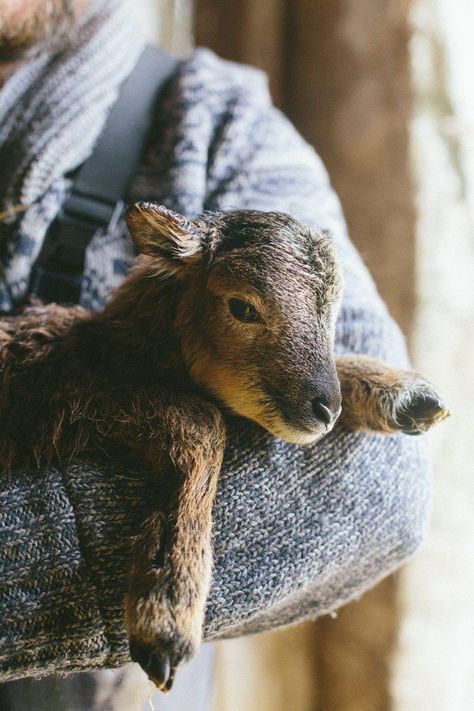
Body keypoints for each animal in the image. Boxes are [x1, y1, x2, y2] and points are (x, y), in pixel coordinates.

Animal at [0, 204, 448, 688]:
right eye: (242, 306)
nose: (326, 409)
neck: (113, 351)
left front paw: (404, 394)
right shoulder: (72, 398)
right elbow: (203, 420)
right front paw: (167, 610)